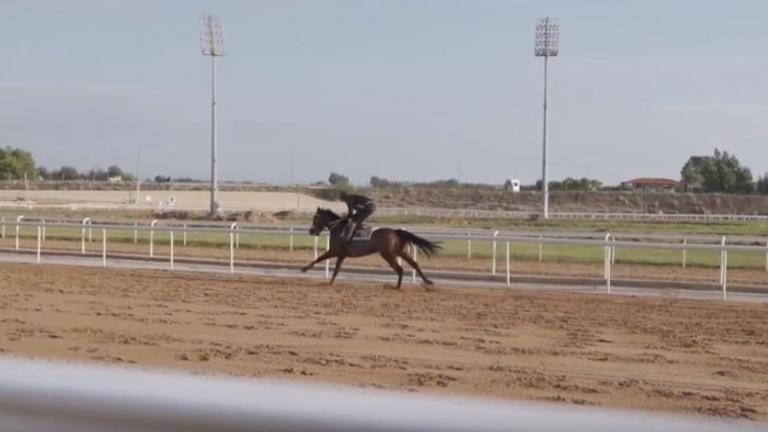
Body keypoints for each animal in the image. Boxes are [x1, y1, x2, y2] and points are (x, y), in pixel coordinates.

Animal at [304, 208, 440, 288]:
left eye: (315, 218)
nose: (311, 231)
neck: (339, 228)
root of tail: (396, 232)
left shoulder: (334, 251)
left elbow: (319, 258)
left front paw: (304, 269)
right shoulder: (341, 255)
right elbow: (337, 269)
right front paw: (330, 283)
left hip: (387, 254)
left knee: (399, 268)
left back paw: (396, 287)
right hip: (402, 252)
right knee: (415, 264)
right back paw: (428, 281)